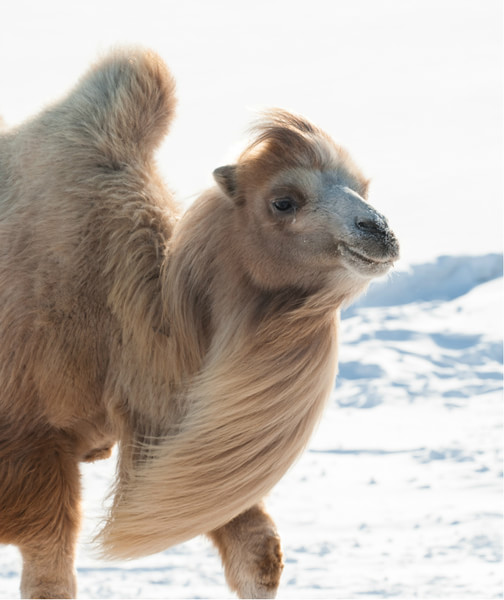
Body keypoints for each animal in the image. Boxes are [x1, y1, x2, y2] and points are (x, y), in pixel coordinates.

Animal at [0, 49, 398, 596]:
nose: (379, 231)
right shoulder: (30, 441)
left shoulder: (178, 437)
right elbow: (50, 574)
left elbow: (259, 552)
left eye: (362, 188)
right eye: (283, 201)